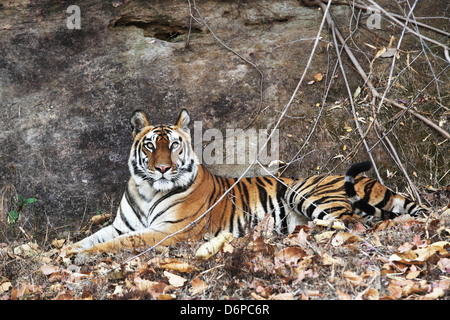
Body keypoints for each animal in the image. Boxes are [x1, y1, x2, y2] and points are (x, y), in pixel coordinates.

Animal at [73, 110, 426, 252]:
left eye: (173, 145)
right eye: (149, 145)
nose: (161, 168)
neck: (148, 190)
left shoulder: (170, 231)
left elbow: (120, 244)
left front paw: (85, 256)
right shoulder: (121, 225)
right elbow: (92, 238)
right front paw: (67, 252)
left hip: (305, 193)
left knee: (352, 225)